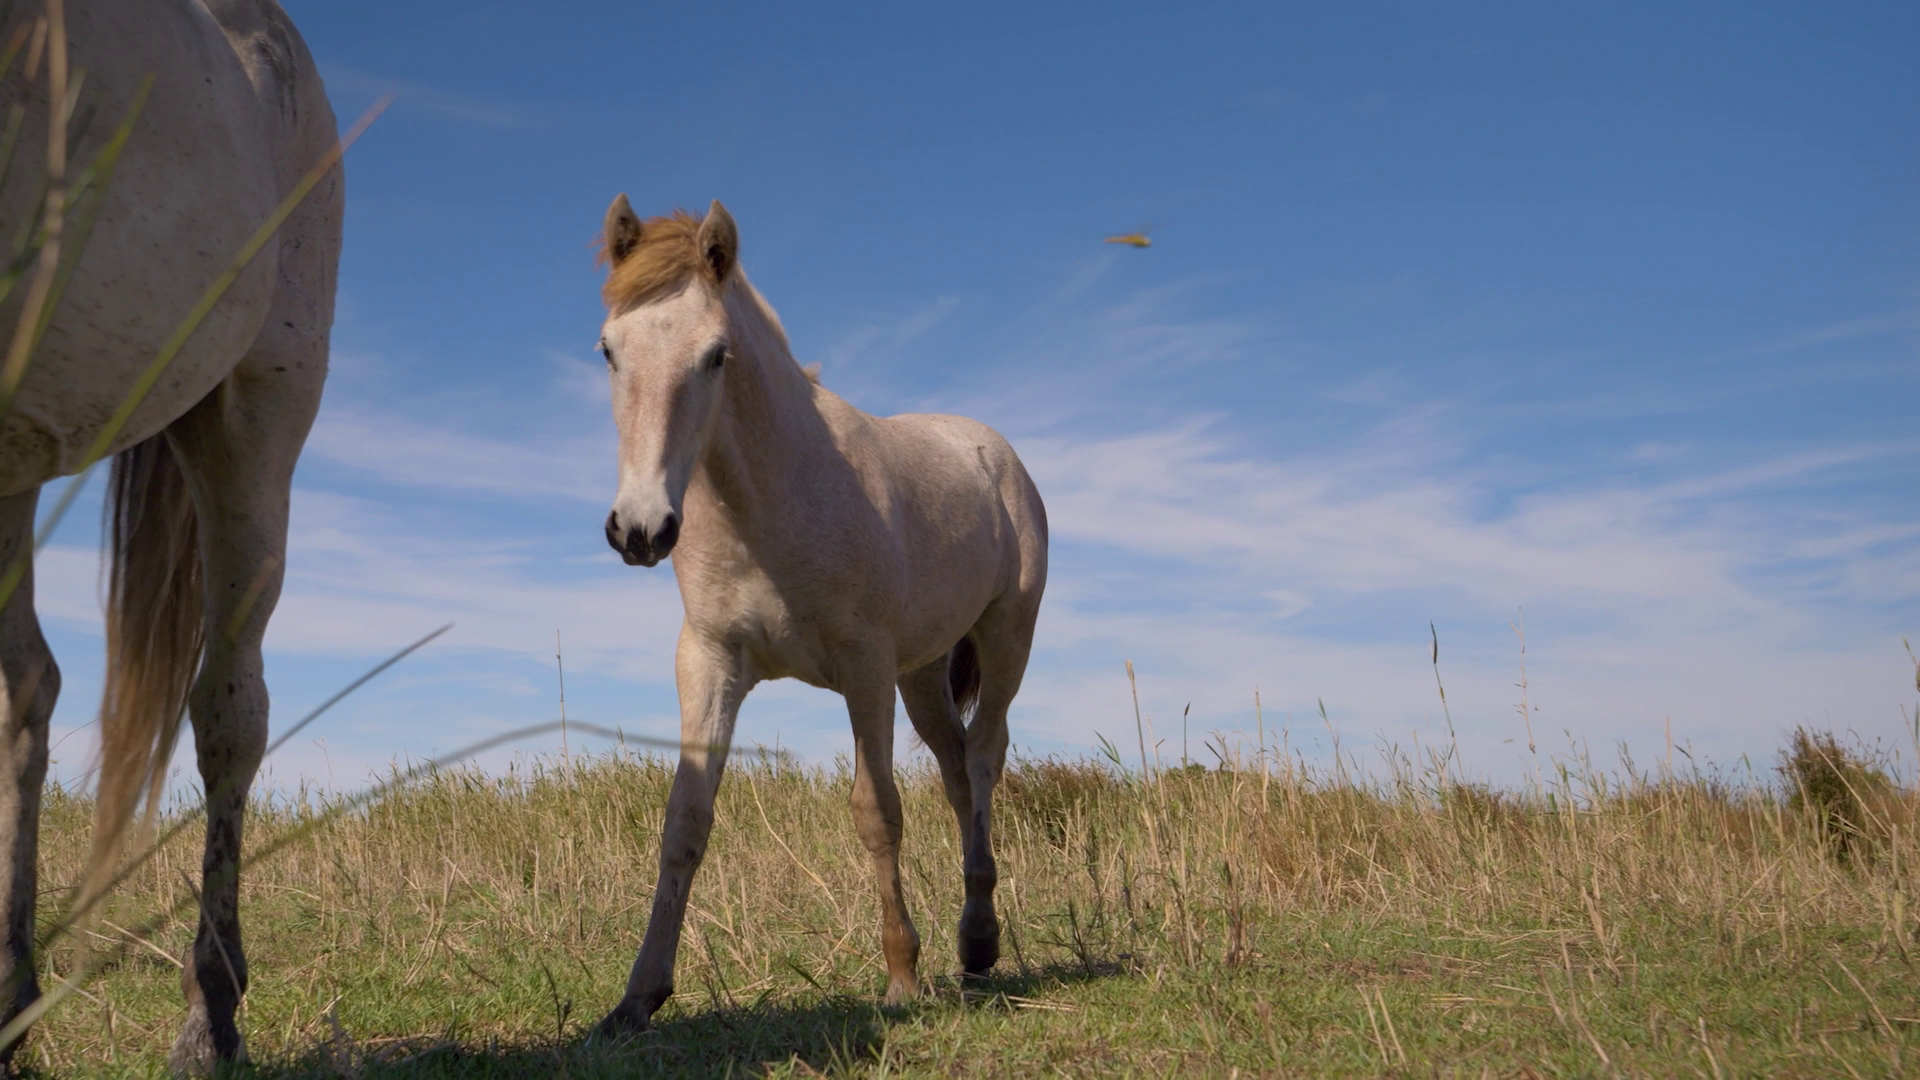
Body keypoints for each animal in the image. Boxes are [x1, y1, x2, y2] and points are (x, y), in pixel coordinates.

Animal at [590, 197, 1048, 1033]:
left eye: (716, 355)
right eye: (609, 349)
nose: (640, 529)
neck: (768, 502)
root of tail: (994, 452)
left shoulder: (863, 670)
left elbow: (876, 812)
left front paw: (901, 975)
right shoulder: (709, 663)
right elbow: (684, 823)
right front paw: (638, 997)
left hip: (1006, 640)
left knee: (985, 756)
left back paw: (977, 940)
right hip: (922, 674)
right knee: (956, 770)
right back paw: (973, 945)